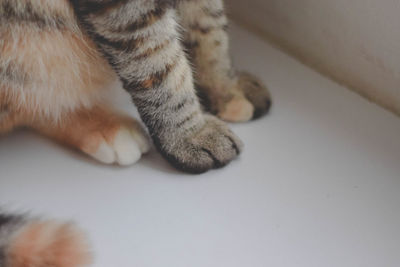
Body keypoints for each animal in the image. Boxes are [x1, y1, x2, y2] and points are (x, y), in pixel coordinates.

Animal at [0, 0, 272, 174]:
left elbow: (208, 24)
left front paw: (226, 85)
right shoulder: (123, 8)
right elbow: (160, 64)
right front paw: (191, 134)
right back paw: (104, 126)